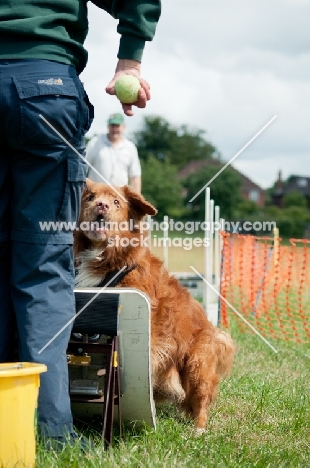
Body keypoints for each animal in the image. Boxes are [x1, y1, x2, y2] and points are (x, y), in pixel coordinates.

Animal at [74, 178, 235, 432]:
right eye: (90, 198)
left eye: (116, 202)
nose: (102, 205)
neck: (105, 256)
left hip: (198, 362)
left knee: (201, 398)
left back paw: (198, 429)